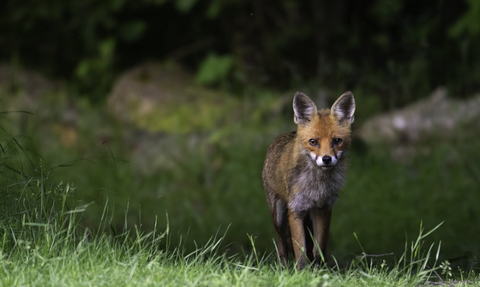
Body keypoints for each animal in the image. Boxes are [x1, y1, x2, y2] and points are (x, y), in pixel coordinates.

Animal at [260, 91, 354, 270]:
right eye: (313, 142)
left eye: (337, 141)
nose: (326, 159)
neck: (316, 186)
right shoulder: (295, 210)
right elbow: (300, 250)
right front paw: (302, 272)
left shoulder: (324, 209)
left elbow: (318, 249)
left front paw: (318, 270)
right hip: (278, 216)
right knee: (282, 243)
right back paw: (282, 269)